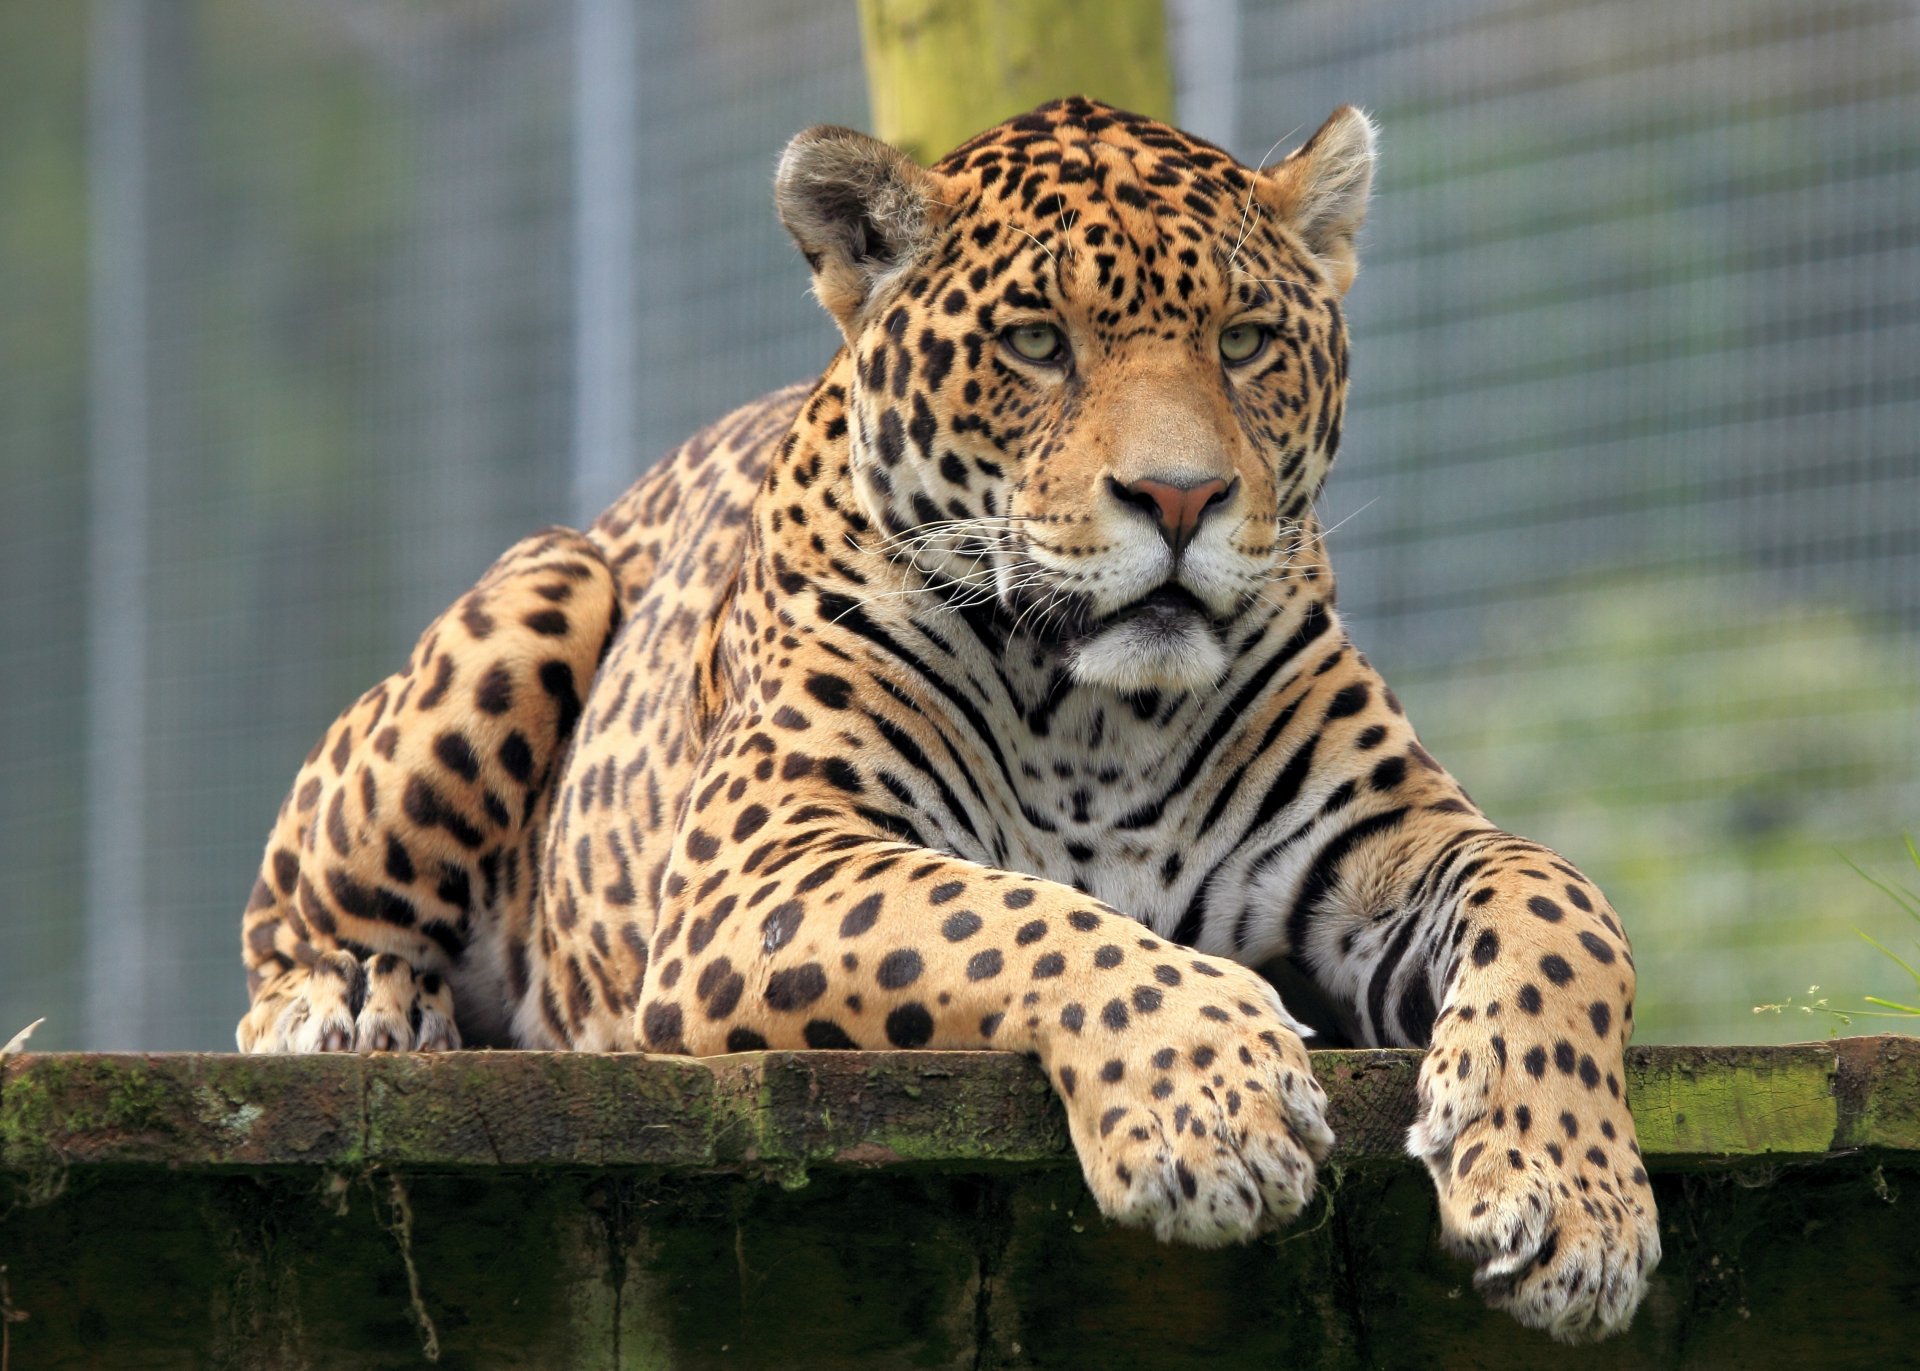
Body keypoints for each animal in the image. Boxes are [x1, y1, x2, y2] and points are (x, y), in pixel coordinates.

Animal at [236, 97, 1659, 1342]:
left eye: (1247, 341)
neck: (1100, 717)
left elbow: (1561, 905)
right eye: (1036, 344)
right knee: (284, 929)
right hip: (545, 589)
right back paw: (351, 999)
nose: (1181, 498)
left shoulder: (1384, 841)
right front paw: (1212, 1106)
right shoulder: (762, 861)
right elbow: (1009, 911)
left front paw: (1570, 1198)